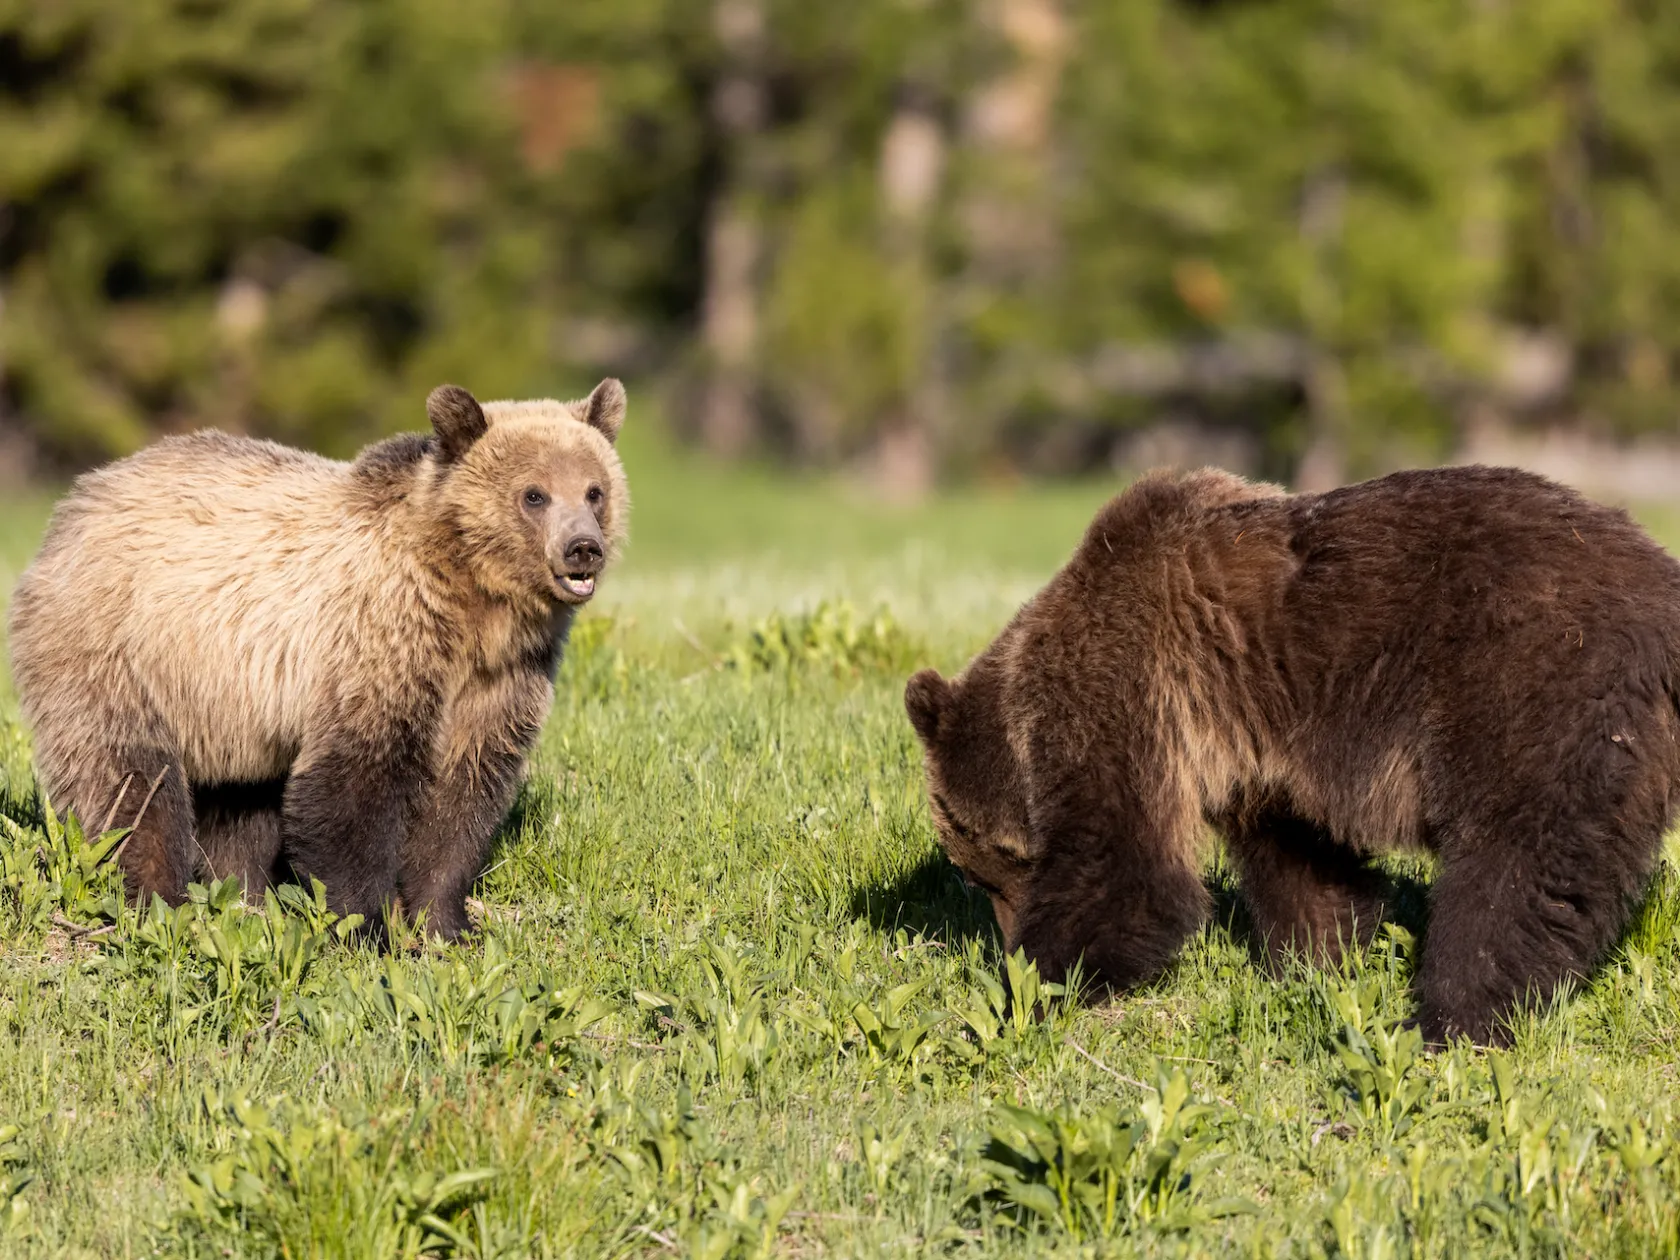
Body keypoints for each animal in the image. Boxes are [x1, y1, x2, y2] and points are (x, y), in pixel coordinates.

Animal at [7, 379, 630, 938]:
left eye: (594, 490)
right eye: (534, 494)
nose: (583, 548)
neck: (472, 604)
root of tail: (76, 502)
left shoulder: (501, 677)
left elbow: (464, 797)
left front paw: (446, 926)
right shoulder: (379, 642)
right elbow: (352, 792)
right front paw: (365, 926)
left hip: (227, 704)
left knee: (240, 803)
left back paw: (243, 895)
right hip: (119, 646)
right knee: (131, 779)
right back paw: (159, 898)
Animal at [905, 464, 1680, 1045]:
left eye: (986, 868)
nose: (1007, 942)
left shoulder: (1135, 687)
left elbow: (1125, 870)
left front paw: (1026, 993)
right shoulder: (1259, 754)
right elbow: (1305, 869)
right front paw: (1318, 965)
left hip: (1533, 679)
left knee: (1513, 862)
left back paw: (1451, 1018)